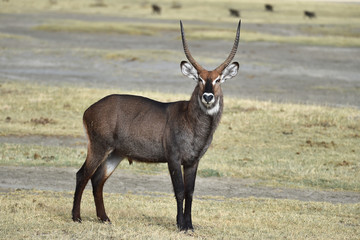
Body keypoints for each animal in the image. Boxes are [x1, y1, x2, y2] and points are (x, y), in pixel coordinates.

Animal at [72, 19, 242, 230]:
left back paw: (105, 218)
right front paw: (181, 225)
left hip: (115, 154)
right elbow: (179, 191)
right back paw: (76, 217)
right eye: (200, 79)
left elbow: (190, 192)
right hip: (98, 147)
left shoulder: (193, 161)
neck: (191, 121)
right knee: (82, 175)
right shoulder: (173, 158)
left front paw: (190, 225)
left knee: (97, 180)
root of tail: (89, 109)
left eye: (218, 80)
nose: (208, 96)